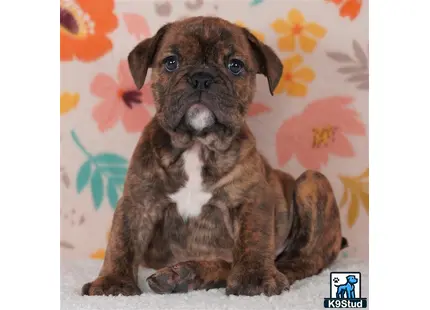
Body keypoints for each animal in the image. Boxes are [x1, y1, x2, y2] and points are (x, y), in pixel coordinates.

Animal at [81, 17, 350, 298]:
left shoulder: (251, 199)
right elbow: (122, 241)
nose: (201, 78)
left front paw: (254, 277)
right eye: (171, 62)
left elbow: (253, 237)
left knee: (298, 262)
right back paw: (184, 276)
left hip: (312, 181)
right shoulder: (138, 202)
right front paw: (112, 282)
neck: (197, 144)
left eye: (235, 66)